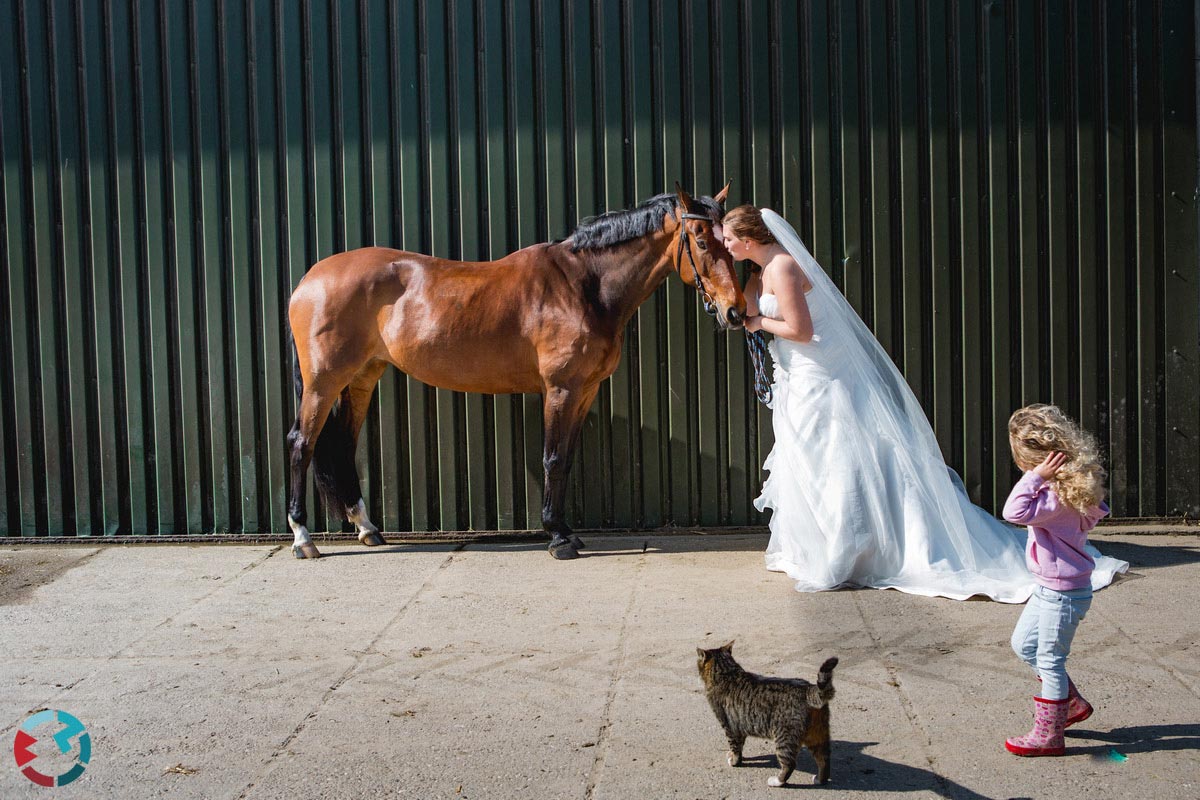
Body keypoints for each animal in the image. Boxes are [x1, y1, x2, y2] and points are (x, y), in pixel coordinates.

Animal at [285, 184, 744, 561]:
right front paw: (557, 539)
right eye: (701, 240)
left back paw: (367, 529)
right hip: (323, 383)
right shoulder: (561, 389)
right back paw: (303, 538)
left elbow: (566, 460)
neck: (584, 286)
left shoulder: (585, 391)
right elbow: (553, 459)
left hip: (362, 377)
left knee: (343, 446)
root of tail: (309, 280)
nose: (735, 312)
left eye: (730, 242)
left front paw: (566, 531)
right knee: (301, 444)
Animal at [700, 642, 840, 786]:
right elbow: (740, 746)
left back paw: (777, 781)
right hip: (817, 735)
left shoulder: (730, 727)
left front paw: (734, 762)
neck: (727, 674)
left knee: (789, 764)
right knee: (824, 758)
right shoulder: (740, 725)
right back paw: (820, 779)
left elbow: (735, 747)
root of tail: (808, 689)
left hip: (784, 737)